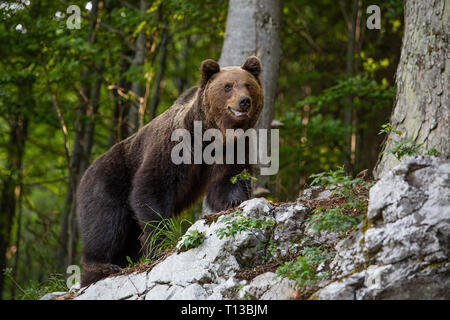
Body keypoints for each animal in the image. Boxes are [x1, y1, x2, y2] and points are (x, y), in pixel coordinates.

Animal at [77, 56, 264, 286]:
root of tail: (85, 175)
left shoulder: (231, 148)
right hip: (108, 181)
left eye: (248, 85)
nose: (244, 101)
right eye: (227, 86)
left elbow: (229, 177)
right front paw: (161, 241)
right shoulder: (174, 146)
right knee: (105, 224)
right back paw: (101, 266)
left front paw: (234, 200)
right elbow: (152, 188)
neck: (208, 134)